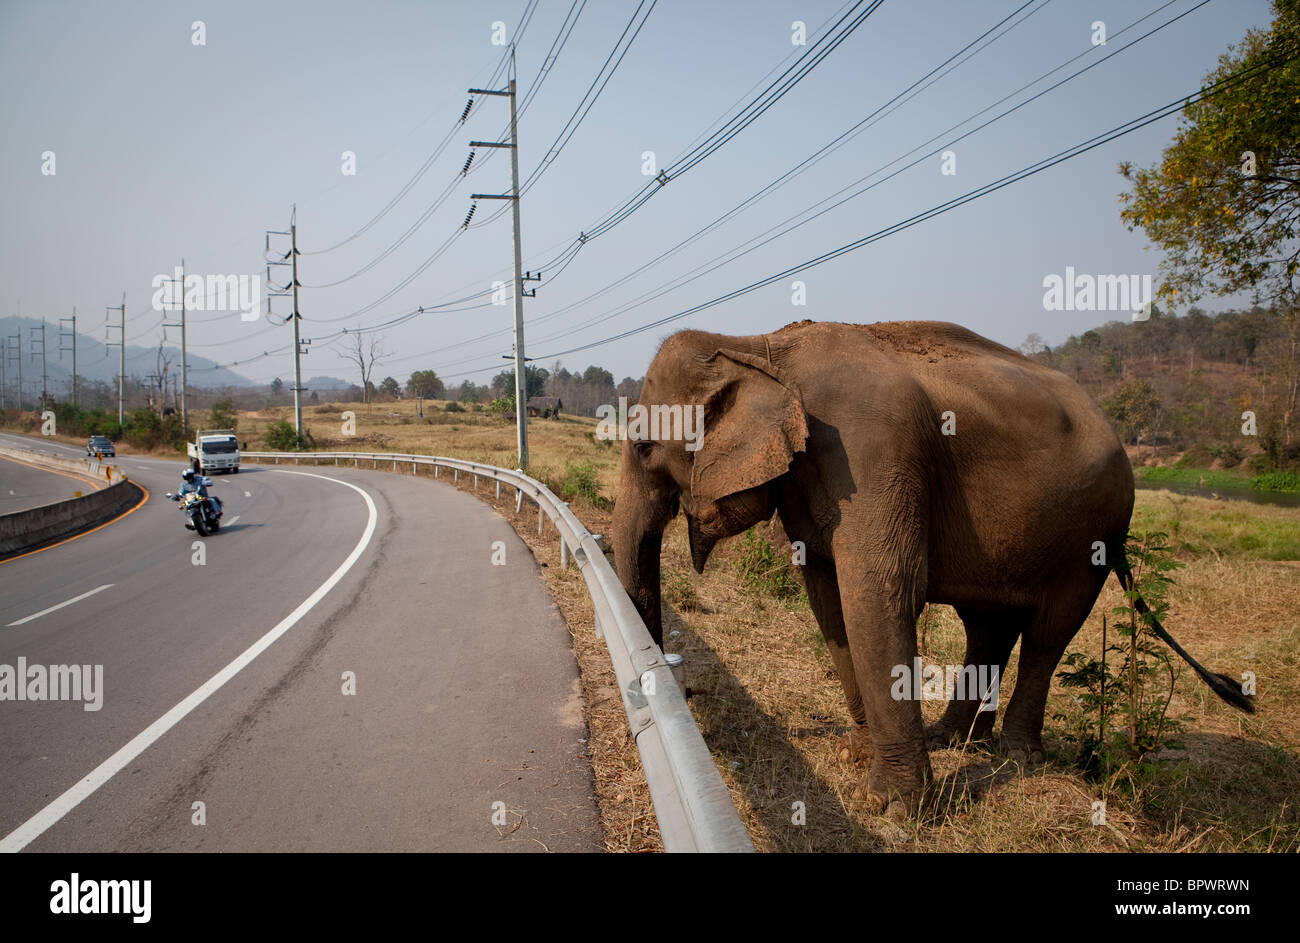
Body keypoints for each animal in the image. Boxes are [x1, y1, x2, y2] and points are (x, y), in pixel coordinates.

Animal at [613, 318, 1253, 816]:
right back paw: (953, 739)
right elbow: (828, 597)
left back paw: (1018, 756)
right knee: (988, 626)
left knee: (1049, 632)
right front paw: (856, 755)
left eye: (643, 447)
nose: (679, 693)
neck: (759, 344)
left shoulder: (871, 449)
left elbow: (882, 590)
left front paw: (892, 808)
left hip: (1094, 533)